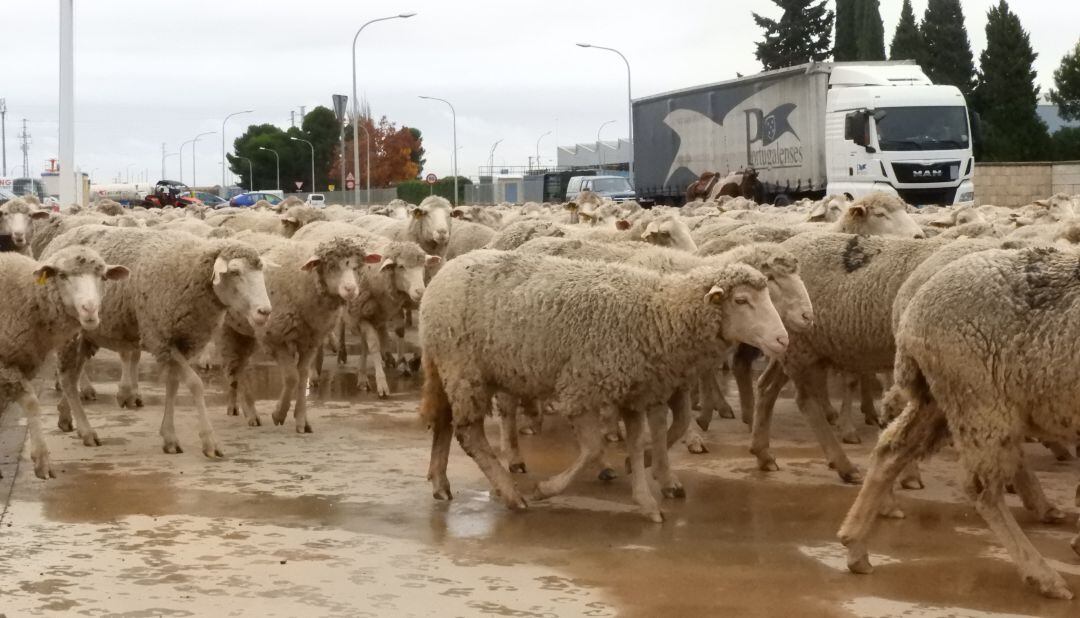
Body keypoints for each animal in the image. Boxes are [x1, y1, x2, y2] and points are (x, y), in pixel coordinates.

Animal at [0, 246, 128, 477]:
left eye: (103, 277)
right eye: (62, 275)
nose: (90, 309)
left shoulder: (17, 365)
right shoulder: (5, 366)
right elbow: (32, 403)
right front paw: (42, 459)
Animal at [44, 224, 274, 455]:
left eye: (261, 271)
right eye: (235, 272)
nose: (264, 311)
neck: (190, 269)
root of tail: (58, 240)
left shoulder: (182, 342)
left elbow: (173, 384)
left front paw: (169, 437)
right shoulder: (160, 338)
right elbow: (195, 383)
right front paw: (210, 442)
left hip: (86, 335)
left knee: (72, 376)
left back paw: (66, 418)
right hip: (69, 335)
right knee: (67, 378)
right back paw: (87, 432)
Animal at [216, 234, 380, 432]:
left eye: (357, 267)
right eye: (331, 266)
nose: (351, 289)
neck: (305, 283)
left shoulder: (311, 340)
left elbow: (302, 376)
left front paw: (301, 420)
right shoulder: (274, 337)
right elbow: (291, 377)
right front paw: (279, 414)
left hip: (245, 331)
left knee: (238, 366)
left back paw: (236, 407)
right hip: (227, 329)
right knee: (234, 366)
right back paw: (251, 413)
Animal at [419, 249, 786, 520]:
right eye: (741, 301)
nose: (783, 339)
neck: (658, 312)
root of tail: (444, 273)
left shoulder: (633, 392)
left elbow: (637, 444)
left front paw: (647, 502)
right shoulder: (581, 386)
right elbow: (594, 448)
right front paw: (546, 489)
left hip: (451, 368)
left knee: (444, 422)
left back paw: (440, 483)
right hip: (464, 368)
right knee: (469, 433)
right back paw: (511, 494)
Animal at [842, 245, 1080, 600]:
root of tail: (916, 303)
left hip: (939, 397)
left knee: (891, 449)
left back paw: (855, 545)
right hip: (979, 399)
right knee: (982, 490)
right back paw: (1043, 575)